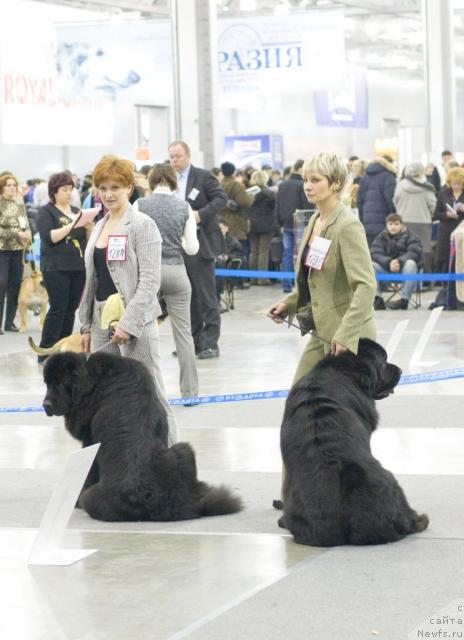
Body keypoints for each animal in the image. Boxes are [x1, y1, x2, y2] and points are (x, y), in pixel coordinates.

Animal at [42, 352, 243, 524]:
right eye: (47, 384)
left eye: (59, 383)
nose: (45, 405)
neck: (93, 379)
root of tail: (155, 501)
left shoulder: (89, 441)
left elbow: (89, 473)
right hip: (184, 450)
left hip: (92, 497)